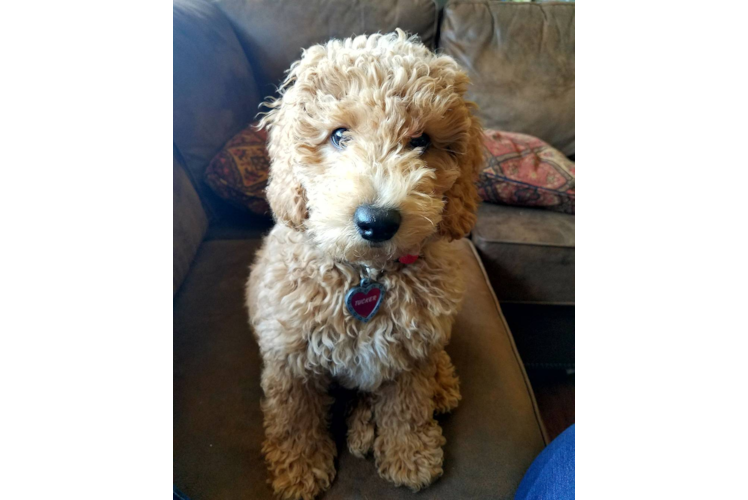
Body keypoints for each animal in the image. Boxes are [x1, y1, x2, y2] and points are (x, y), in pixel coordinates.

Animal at [248, 29, 482, 498]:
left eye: (422, 141)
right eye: (339, 135)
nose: (377, 221)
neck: (367, 274)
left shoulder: (410, 354)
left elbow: (407, 407)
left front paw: (410, 456)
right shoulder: (290, 358)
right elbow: (294, 417)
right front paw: (300, 470)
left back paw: (442, 385)